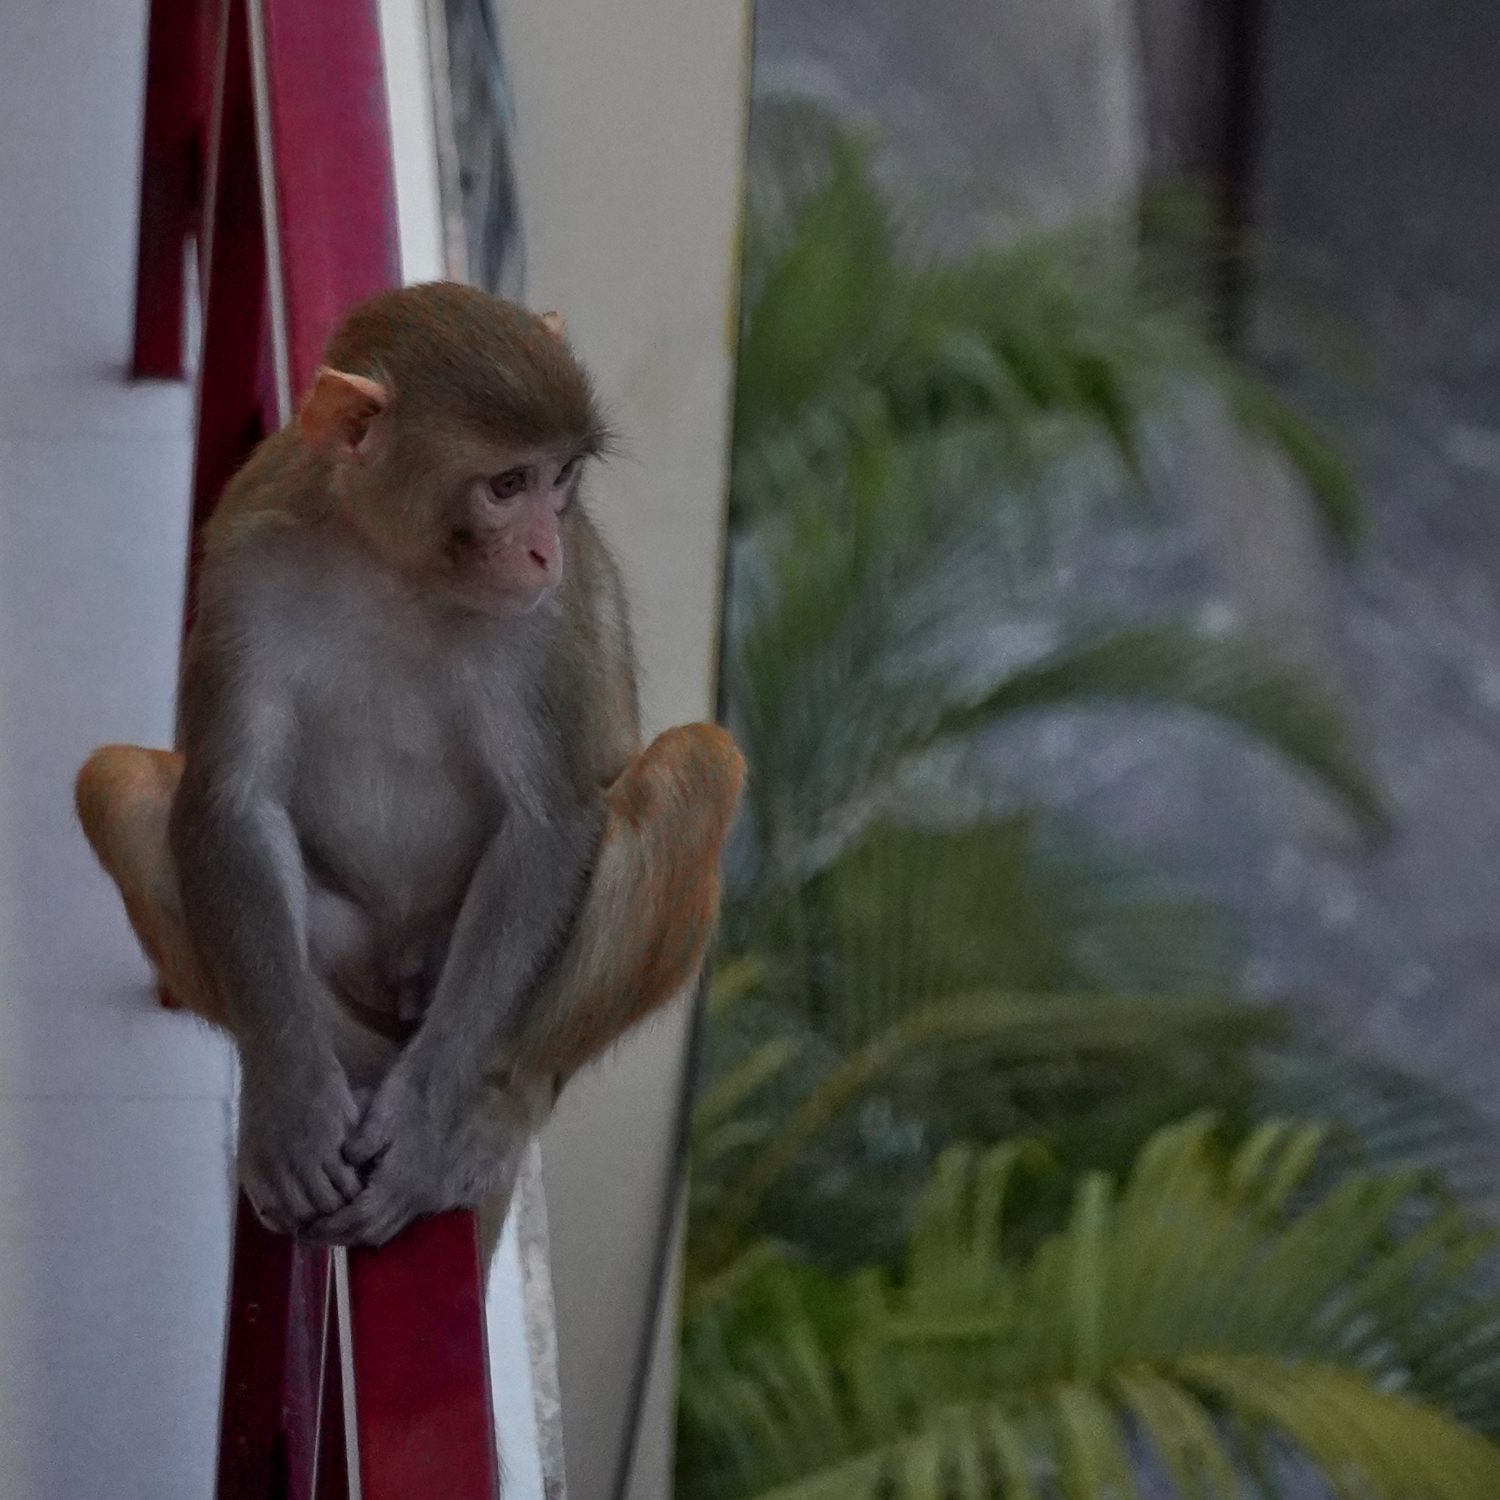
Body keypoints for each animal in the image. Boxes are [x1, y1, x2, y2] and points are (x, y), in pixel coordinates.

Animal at [74, 283, 745, 1250]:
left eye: (560, 478)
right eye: (506, 485)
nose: (545, 550)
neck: (396, 570)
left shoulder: (539, 620)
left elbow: (548, 824)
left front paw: (425, 1124)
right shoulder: (248, 556)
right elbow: (231, 801)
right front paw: (293, 1108)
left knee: (700, 769)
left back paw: (491, 1111)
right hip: (358, 963)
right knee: (120, 788)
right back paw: (336, 1078)